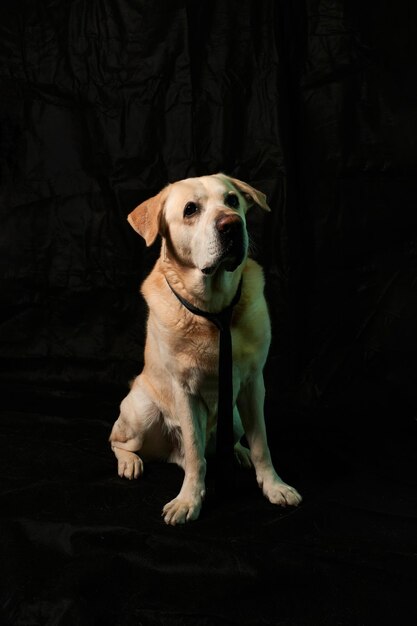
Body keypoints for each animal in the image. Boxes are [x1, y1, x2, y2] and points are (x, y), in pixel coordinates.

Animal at [109, 173, 300, 524]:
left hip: (234, 415)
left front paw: (274, 485)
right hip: (142, 413)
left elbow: (262, 443)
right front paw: (189, 500)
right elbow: (197, 455)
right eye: (190, 210)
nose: (232, 224)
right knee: (119, 439)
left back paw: (238, 452)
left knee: (233, 439)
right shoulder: (184, 391)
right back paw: (130, 461)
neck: (215, 309)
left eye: (232, 200)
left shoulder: (253, 384)